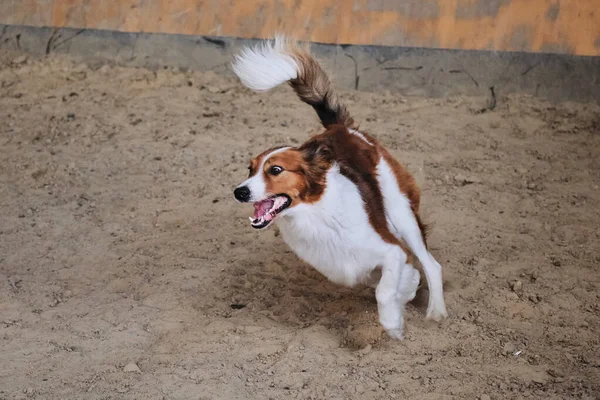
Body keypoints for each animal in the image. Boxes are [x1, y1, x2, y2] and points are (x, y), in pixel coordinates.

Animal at [232, 37, 448, 340]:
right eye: (249, 170)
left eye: (275, 170)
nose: (239, 192)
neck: (315, 214)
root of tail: (341, 129)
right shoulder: (350, 267)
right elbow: (381, 283)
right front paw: (403, 294)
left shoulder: (392, 249)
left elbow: (387, 289)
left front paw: (394, 321)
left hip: (402, 213)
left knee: (431, 264)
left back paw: (436, 311)